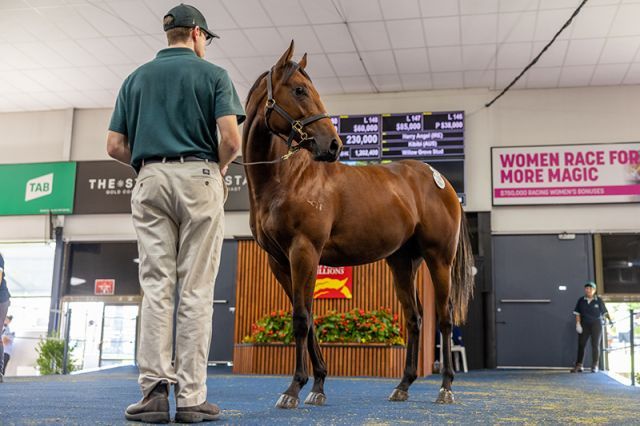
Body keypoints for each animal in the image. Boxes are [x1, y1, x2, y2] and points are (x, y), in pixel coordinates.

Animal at [241, 40, 476, 410]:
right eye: (299, 90)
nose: (333, 145)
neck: (287, 179)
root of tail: (441, 180)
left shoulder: (305, 252)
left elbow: (301, 319)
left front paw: (294, 388)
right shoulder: (279, 261)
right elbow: (308, 318)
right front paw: (318, 386)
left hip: (439, 259)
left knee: (445, 316)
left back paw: (446, 388)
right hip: (403, 261)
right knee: (415, 318)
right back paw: (403, 385)